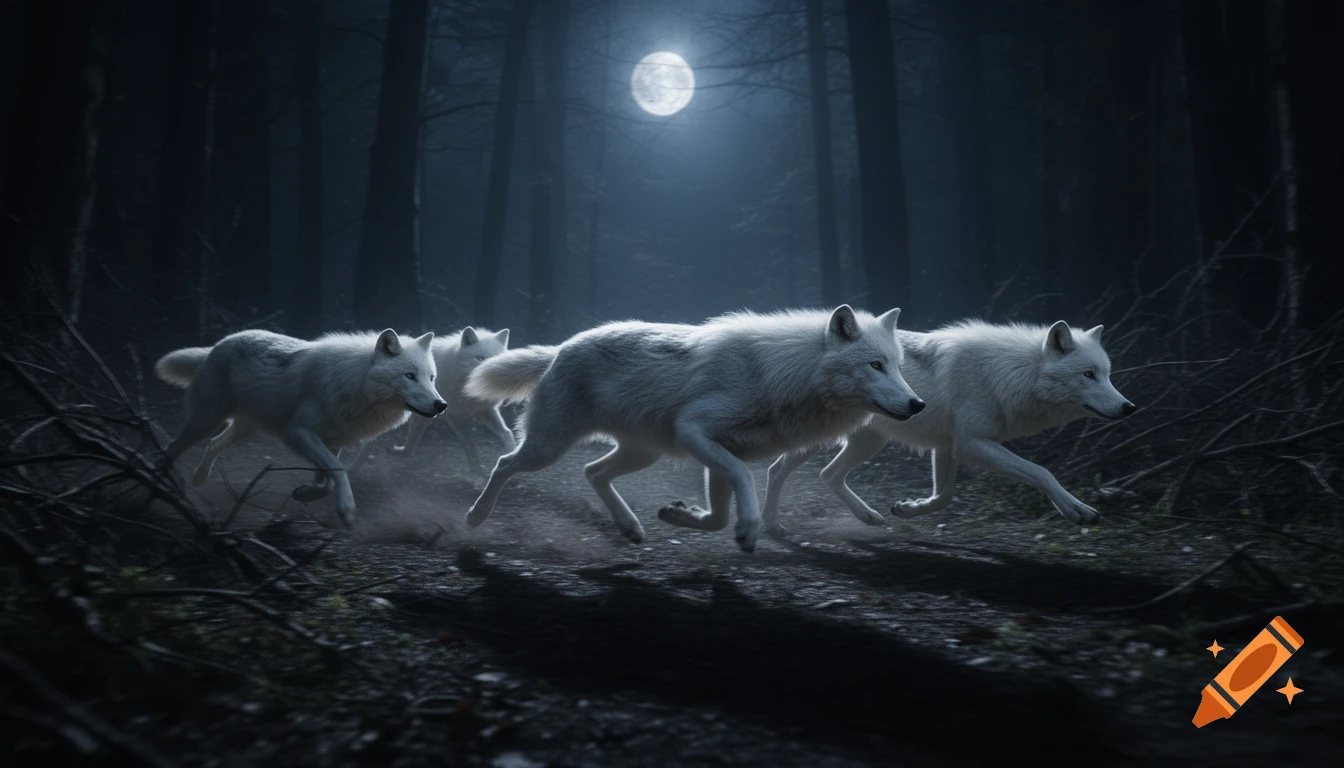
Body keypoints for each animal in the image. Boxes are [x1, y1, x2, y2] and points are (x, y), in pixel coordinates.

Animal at [154, 328, 448, 527]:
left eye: (431, 378)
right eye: (410, 376)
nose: (441, 404)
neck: (356, 383)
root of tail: (217, 344)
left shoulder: (331, 441)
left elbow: (325, 481)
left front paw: (305, 494)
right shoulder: (297, 433)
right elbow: (338, 470)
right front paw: (347, 510)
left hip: (244, 428)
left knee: (213, 443)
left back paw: (198, 478)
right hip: (207, 420)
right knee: (174, 445)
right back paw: (163, 479)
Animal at [347, 326, 516, 477]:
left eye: (498, 359)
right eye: (480, 358)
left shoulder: (480, 410)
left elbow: (505, 433)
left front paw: (508, 456)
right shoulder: (435, 415)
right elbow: (411, 448)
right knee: (370, 440)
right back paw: (354, 468)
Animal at [460, 305, 925, 553]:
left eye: (898, 366)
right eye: (875, 365)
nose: (917, 404)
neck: (784, 374)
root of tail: (559, 349)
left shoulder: (716, 451)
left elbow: (717, 517)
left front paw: (680, 515)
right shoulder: (695, 433)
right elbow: (744, 482)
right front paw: (748, 528)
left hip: (642, 453)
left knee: (592, 472)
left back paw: (630, 527)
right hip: (548, 447)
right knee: (504, 463)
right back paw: (475, 517)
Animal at [761, 319, 1136, 530]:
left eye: (1107, 374)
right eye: (1088, 375)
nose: (1129, 407)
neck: (1008, 374)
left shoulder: (946, 446)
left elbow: (943, 497)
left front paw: (909, 509)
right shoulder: (972, 445)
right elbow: (1042, 472)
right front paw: (1077, 510)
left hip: (869, 443)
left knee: (828, 474)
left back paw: (867, 516)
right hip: (819, 438)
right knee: (776, 469)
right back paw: (771, 526)